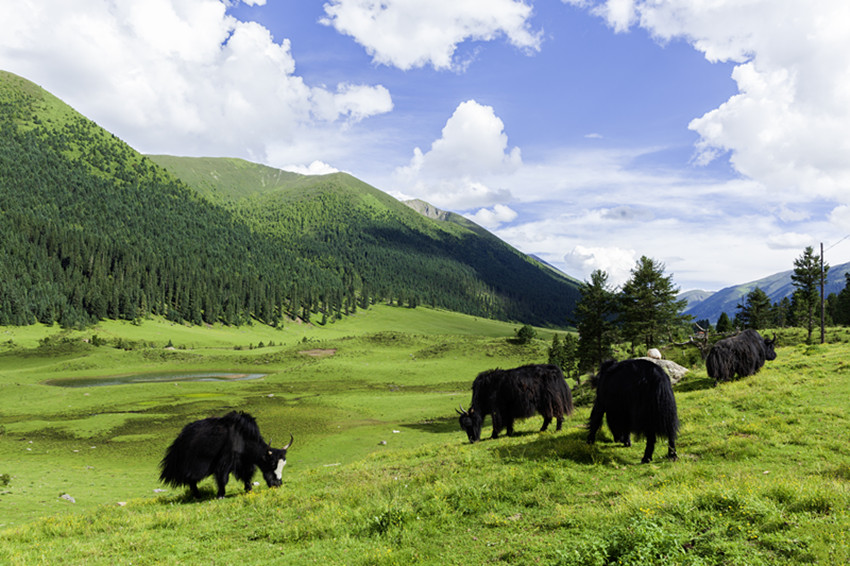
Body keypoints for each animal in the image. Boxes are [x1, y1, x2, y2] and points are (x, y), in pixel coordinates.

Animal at [159, 411, 293, 499]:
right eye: (272, 463)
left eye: (283, 464)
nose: (278, 484)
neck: (243, 439)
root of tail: (180, 438)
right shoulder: (225, 461)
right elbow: (223, 477)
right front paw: (221, 495)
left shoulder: (245, 462)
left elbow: (247, 476)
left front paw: (249, 490)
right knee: (191, 480)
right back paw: (198, 496)